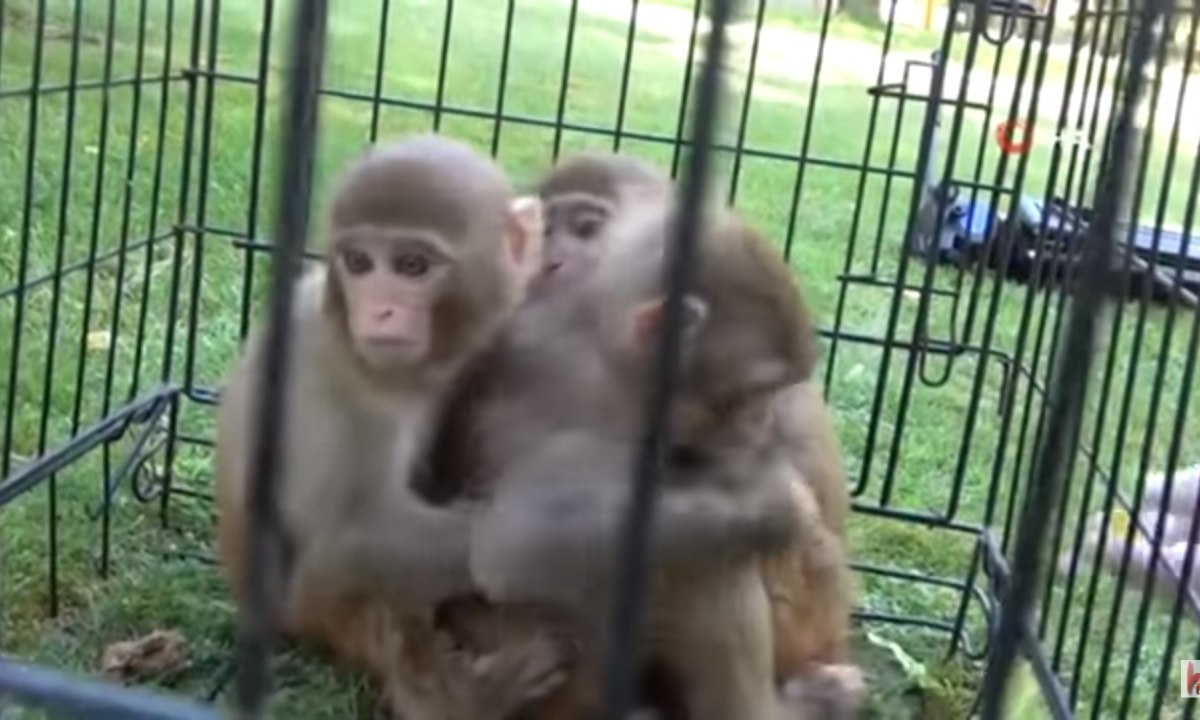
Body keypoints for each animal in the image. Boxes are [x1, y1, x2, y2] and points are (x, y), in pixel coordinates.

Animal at [213, 135, 568, 719]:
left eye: (412, 265)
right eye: (359, 262)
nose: (378, 310)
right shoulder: (335, 379)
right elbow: (350, 538)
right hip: (305, 613)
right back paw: (464, 700)